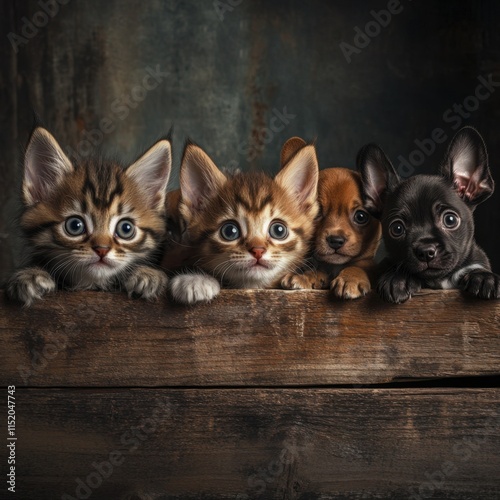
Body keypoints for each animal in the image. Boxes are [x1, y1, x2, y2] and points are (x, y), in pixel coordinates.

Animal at [280, 137, 380, 298]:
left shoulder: (370, 264)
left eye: (361, 216)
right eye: (317, 213)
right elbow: (316, 270)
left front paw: (351, 278)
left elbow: (360, 266)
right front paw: (305, 277)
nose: (336, 240)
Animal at [358, 127, 498, 302]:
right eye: (397, 229)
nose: (425, 251)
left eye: (450, 220)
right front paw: (398, 279)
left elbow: (475, 267)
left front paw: (484, 277)